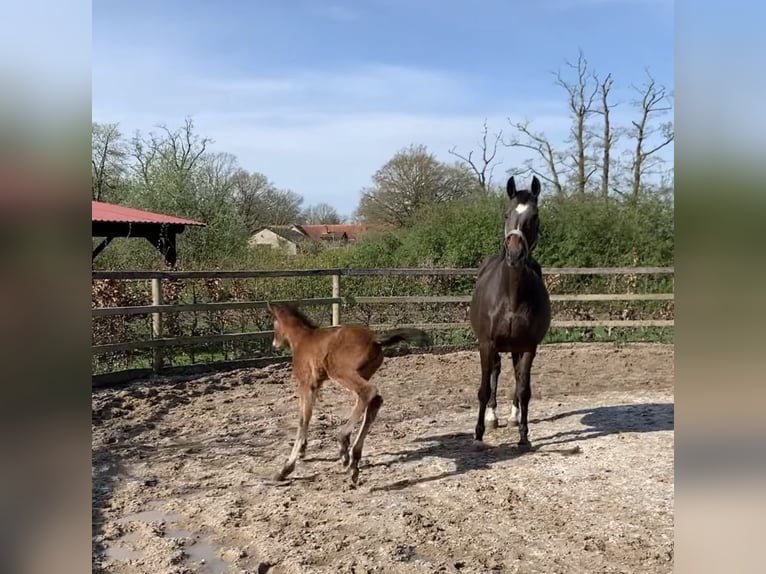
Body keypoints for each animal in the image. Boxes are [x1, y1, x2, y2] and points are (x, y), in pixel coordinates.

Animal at [468, 176, 552, 450]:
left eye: (535, 216)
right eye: (507, 213)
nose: (514, 253)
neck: (511, 296)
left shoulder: (528, 347)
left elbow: (524, 389)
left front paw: (524, 435)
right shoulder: (487, 343)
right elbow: (484, 389)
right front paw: (479, 433)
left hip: (516, 347)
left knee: (516, 376)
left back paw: (514, 417)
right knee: (495, 371)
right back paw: (493, 417)